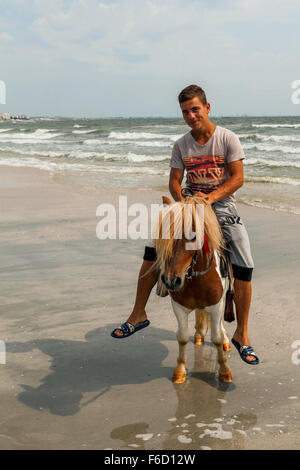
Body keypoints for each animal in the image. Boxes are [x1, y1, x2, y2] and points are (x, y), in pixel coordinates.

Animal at [154, 196, 233, 384]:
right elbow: (182, 337)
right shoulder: (179, 307)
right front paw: (180, 371)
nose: (171, 280)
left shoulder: (217, 306)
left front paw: (224, 370)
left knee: (220, 327)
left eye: (193, 236)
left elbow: (217, 338)